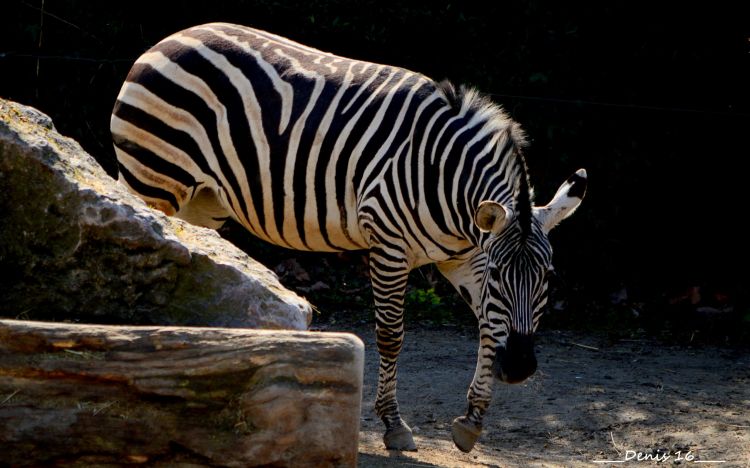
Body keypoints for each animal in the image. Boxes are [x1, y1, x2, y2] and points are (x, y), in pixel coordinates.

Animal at [111, 22, 588, 454]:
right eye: (500, 276)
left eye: (548, 278)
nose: (520, 368)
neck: (448, 183)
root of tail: (173, 36)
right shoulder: (390, 246)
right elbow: (391, 334)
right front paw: (394, 425)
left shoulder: (464, 257)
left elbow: (489, 327)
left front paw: (471, 422)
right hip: (153, 180)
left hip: (202, 204)